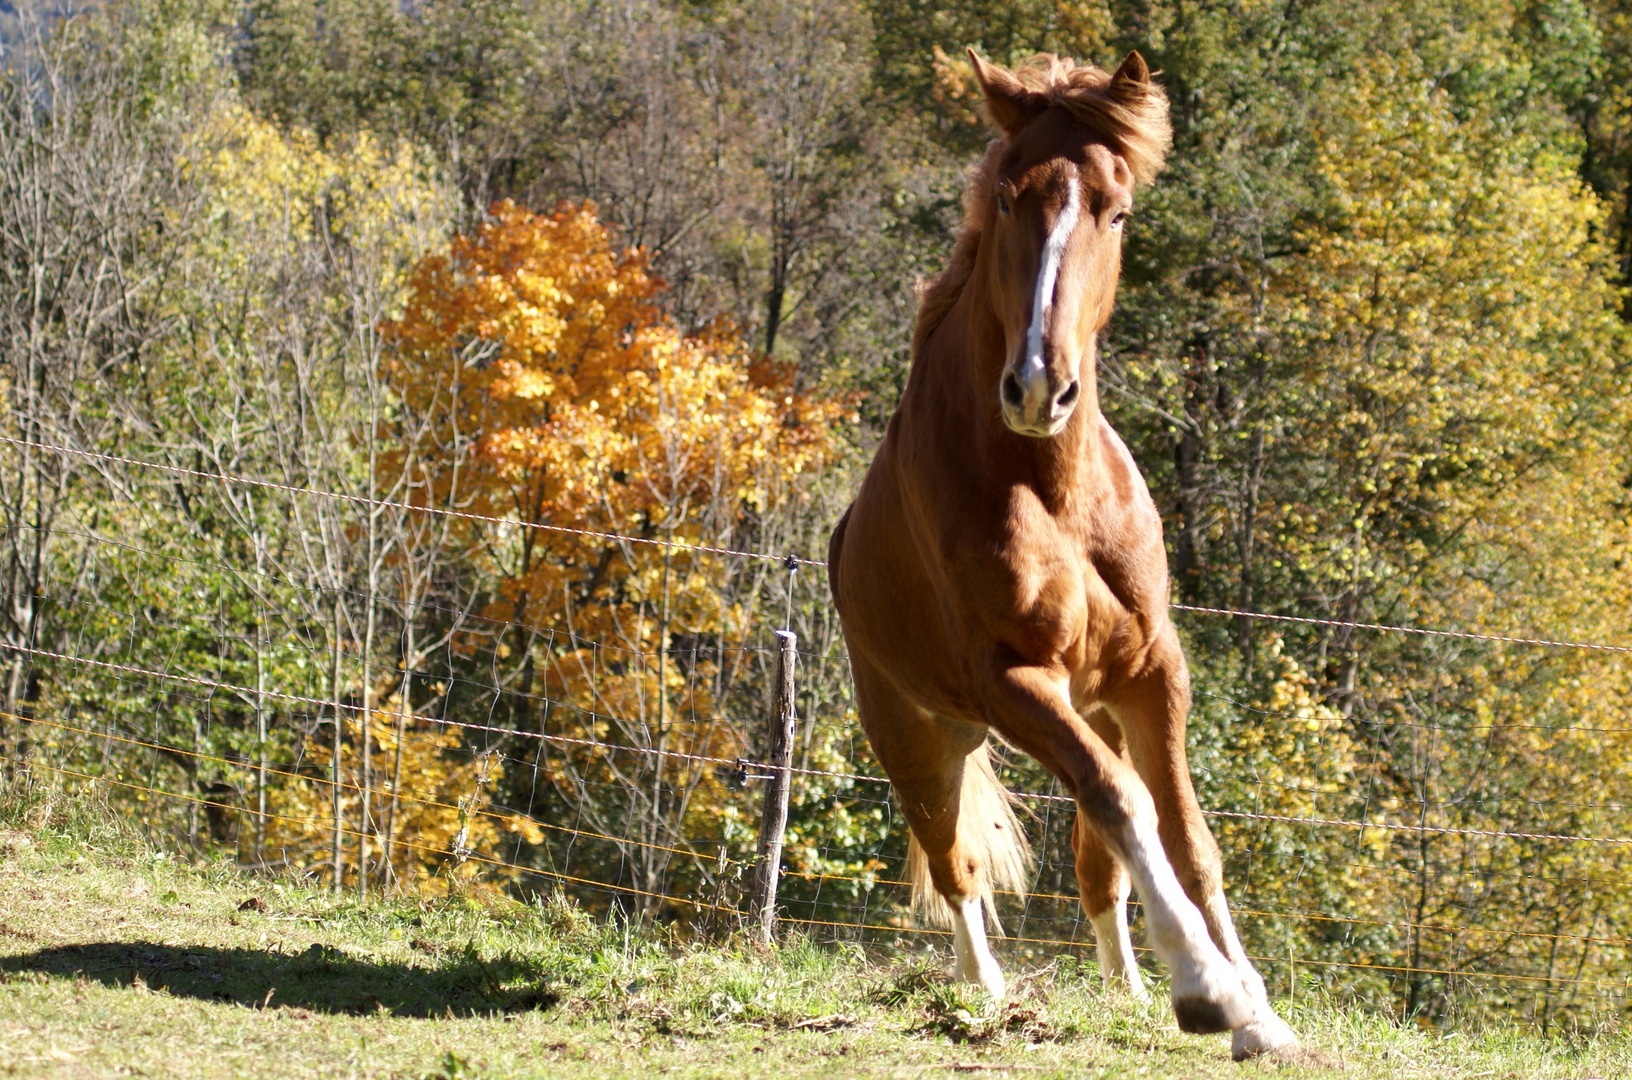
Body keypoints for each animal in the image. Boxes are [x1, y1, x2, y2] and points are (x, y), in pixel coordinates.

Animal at [829, 53, 1299, 1063]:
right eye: (1008, 197)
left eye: (1116, 212)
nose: (1040, 386)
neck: (1055, 492)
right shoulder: (1014, 680)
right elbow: (1123, 804)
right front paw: (1210, 990)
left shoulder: (1151, 672)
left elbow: (1185, 837)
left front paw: (1259, 1013)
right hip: (917, 735)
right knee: (956, 862)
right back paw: (986, 991)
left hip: (1089, 710)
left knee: (1097, 867)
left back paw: (1128, 988)